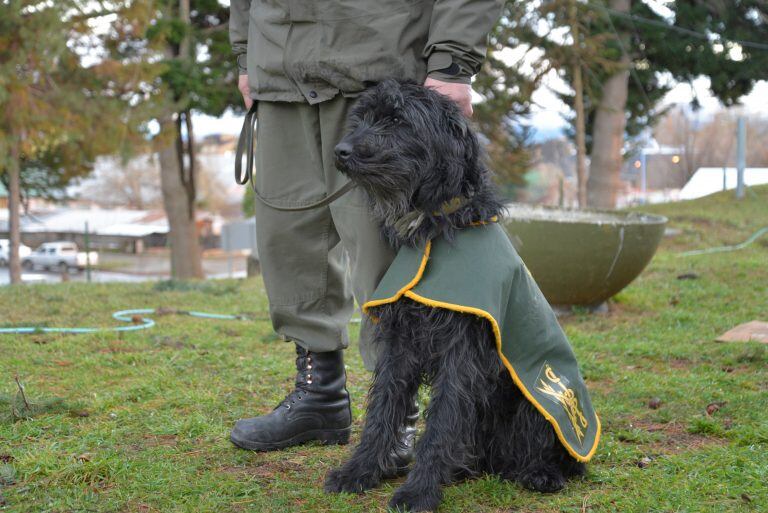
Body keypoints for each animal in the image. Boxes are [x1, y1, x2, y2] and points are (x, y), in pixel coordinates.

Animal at [326, 80, 588, 508]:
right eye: (362, 118)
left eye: (397, 119)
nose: (340, 152)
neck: (437, 226)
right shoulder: (401, 344)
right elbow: (383, 409)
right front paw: (359, 471)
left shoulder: (462, 352)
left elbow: (442, 423)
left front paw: (418, 489)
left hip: (538, 402)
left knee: (551, 451)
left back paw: (541, 473)